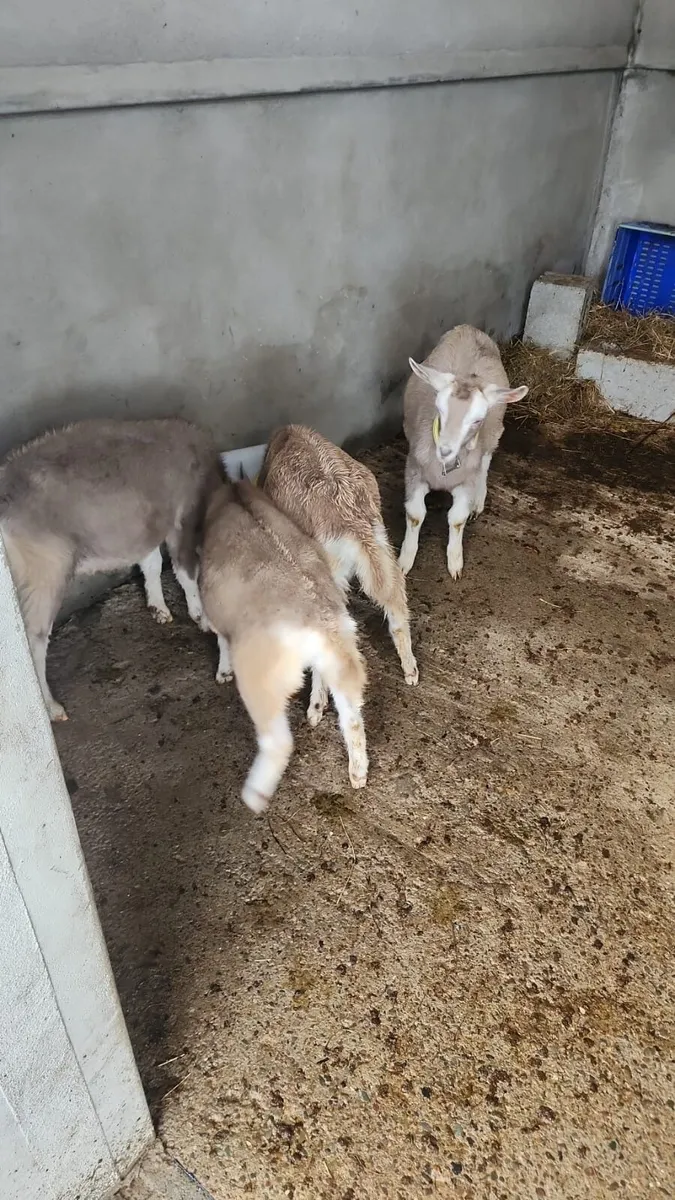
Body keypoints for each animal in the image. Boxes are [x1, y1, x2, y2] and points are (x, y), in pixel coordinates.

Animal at [0, 417, 221, 721]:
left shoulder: (146, 528)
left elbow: (152, 564)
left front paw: (158, 607)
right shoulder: (184, 519)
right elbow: (185, 569)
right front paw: (199, 614)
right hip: (44, 576)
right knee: (34, 641)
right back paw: (52, 707)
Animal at [200, 480, 368, 812]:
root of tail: (318, 616)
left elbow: (220, 639)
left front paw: (222, 671)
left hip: (259, 675)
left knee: (278, 740)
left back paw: (256, 793)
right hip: (341, 653)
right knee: (352, 716)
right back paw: (356, 769)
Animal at [398, 325, 528, 579]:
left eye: (477, 419)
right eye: (439, 409)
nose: (445, 449)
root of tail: (470, 329)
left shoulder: (466, 480)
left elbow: (457, 519)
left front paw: (455, 561)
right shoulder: (414, 469)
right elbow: (415, 515)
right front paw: (404, 561)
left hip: (494, 433)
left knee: (486, 461)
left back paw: (479, 500)